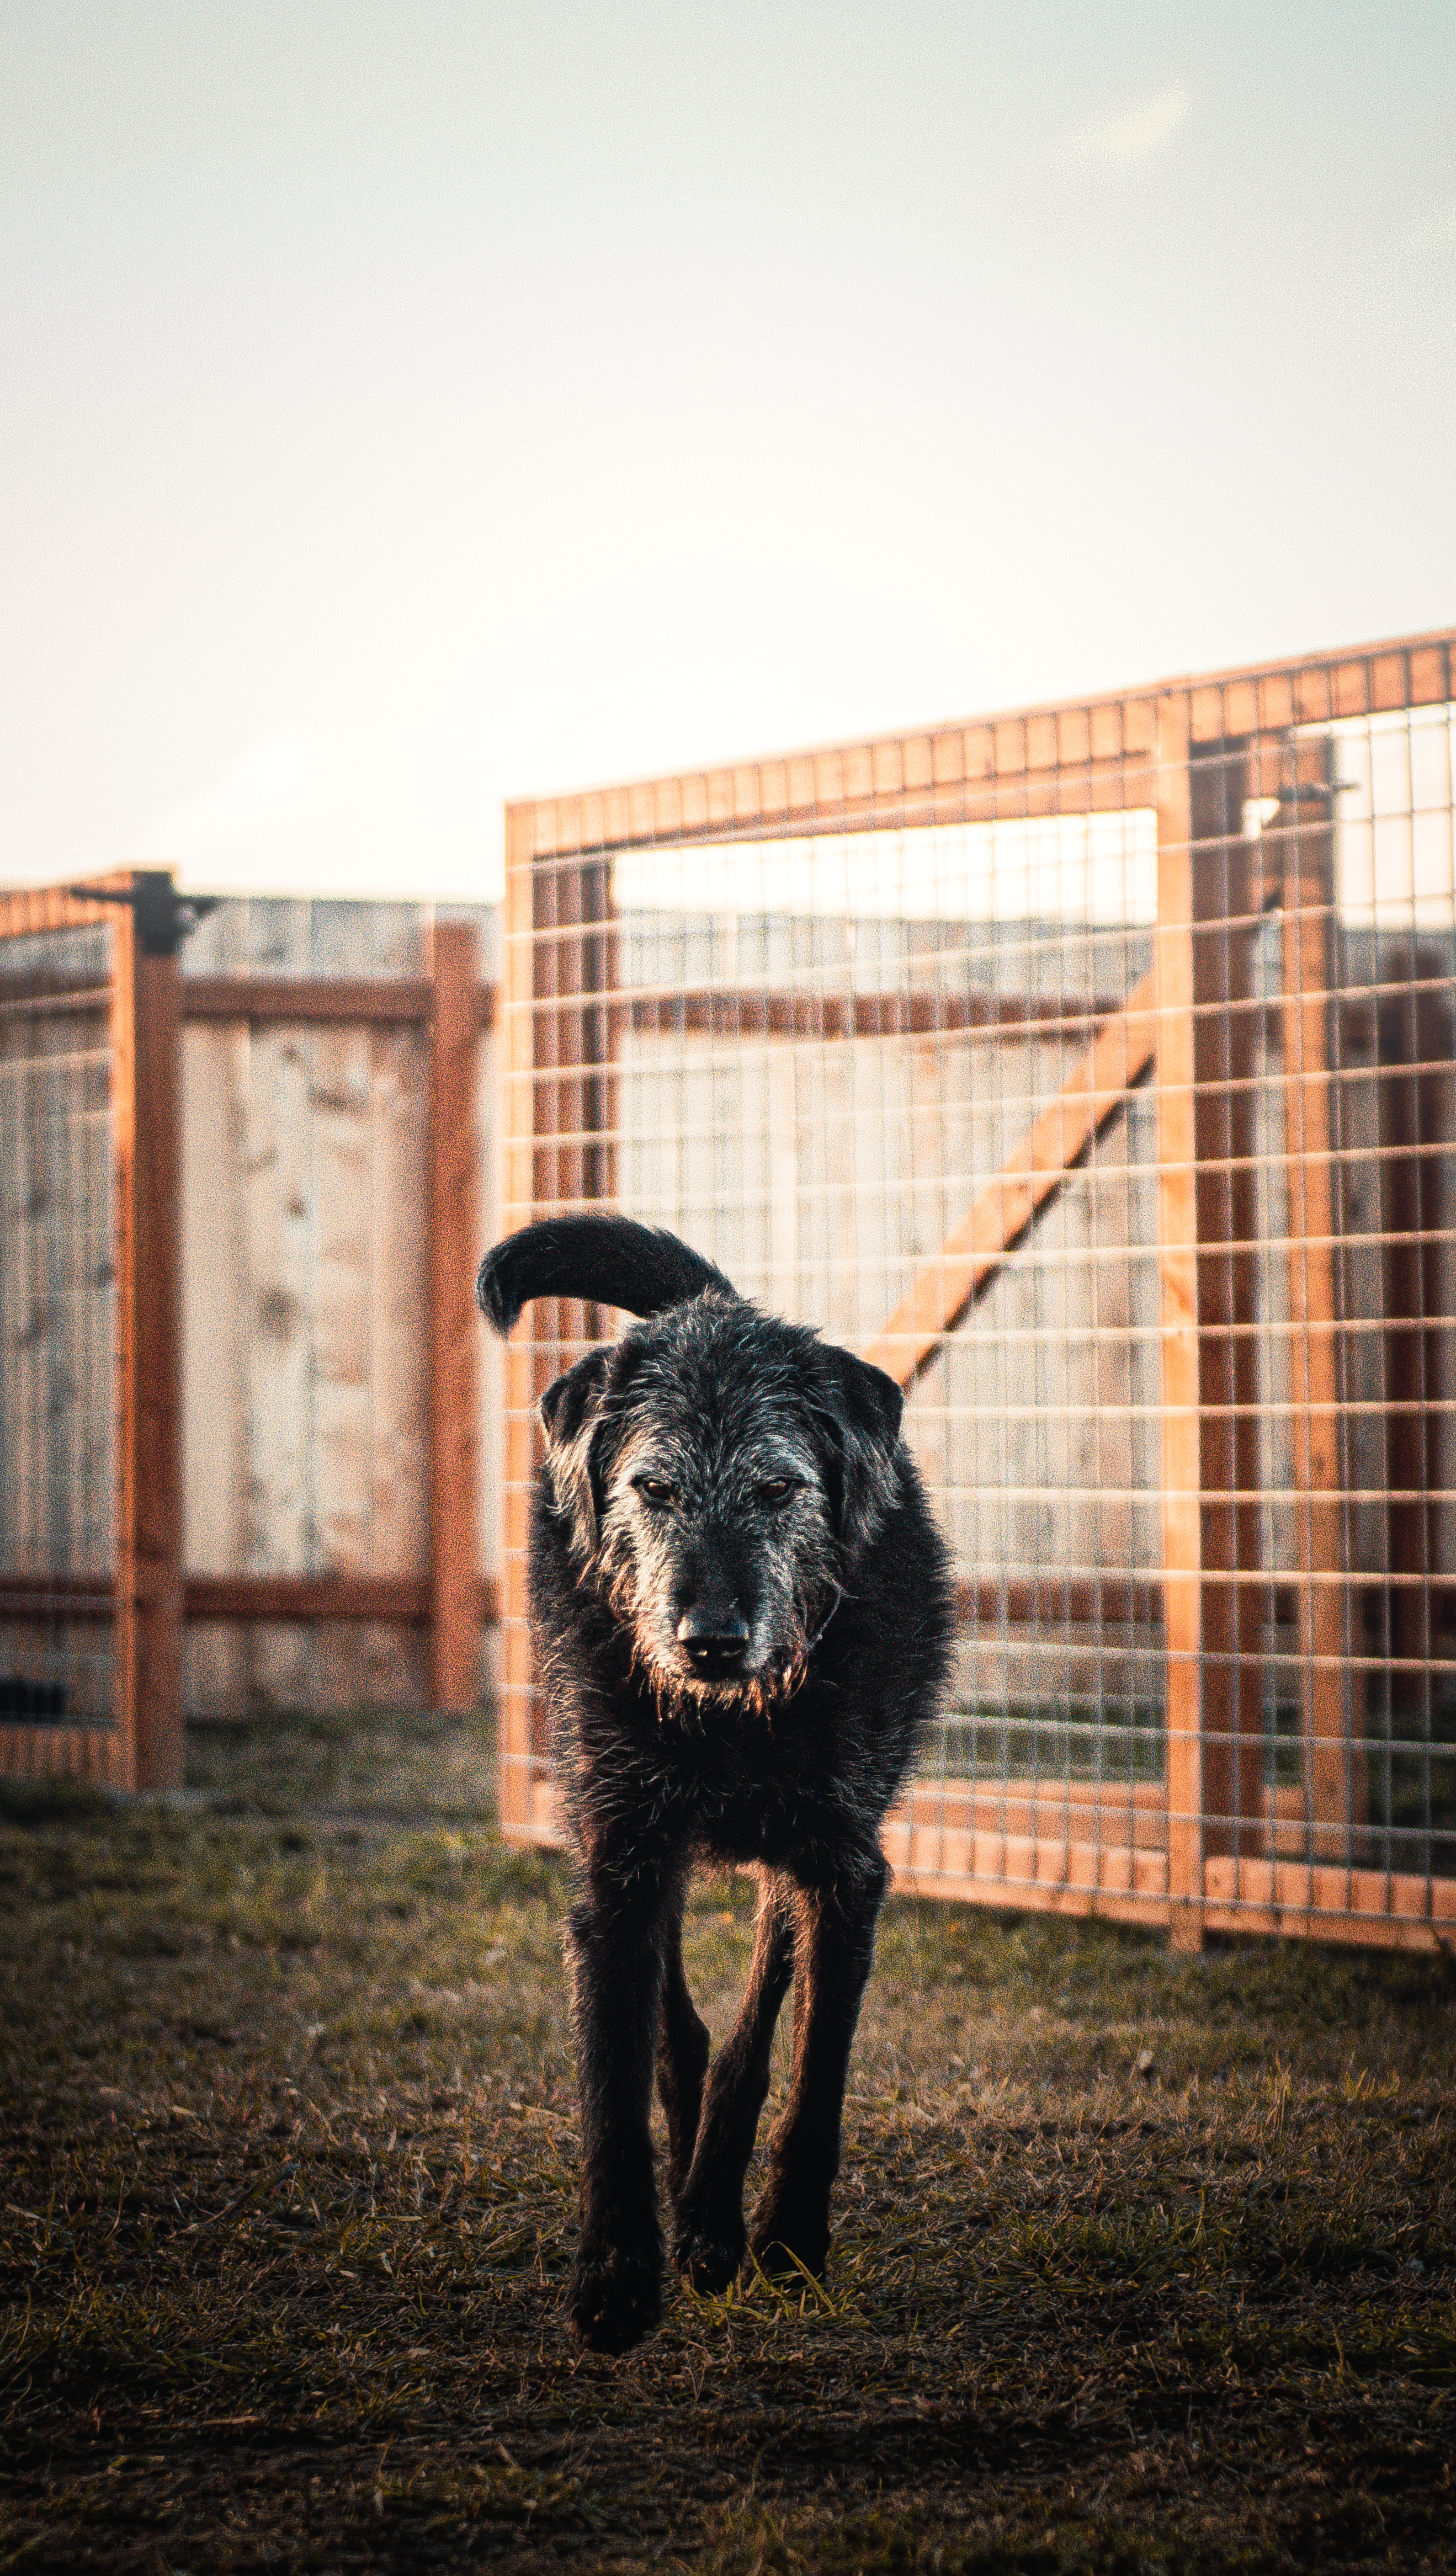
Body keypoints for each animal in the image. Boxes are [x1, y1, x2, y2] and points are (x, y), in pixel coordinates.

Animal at [476, 1210, 953, 2359]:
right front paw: (615, 2276)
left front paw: (784, 2241)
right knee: (681, 2030)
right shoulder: (617, 1869)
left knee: (745, 2032)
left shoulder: (842, 1875)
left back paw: (711, 2215)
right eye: (653, 1488)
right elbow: (614, 2080)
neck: (731, 1722)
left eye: (778, 1487)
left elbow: (808, 2073)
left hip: (792, 1863)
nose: (711, 1639)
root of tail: (716, 1308)